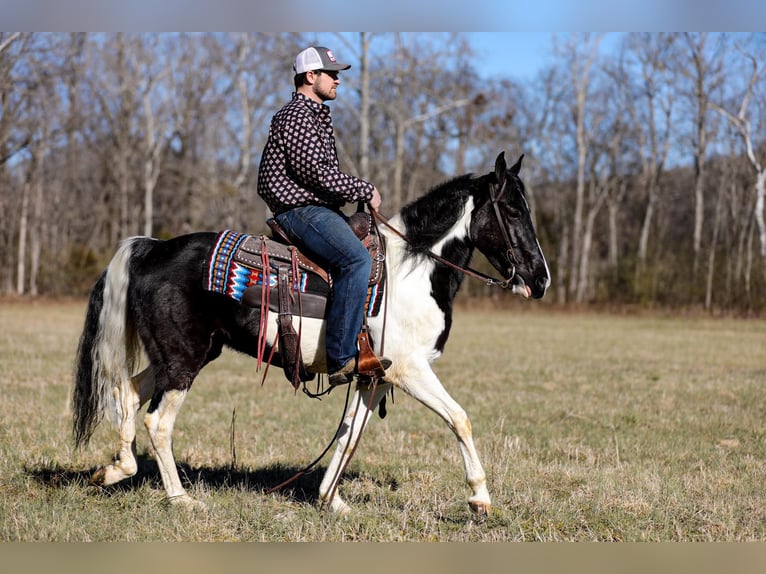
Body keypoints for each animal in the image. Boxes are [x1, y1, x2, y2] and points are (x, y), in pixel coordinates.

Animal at [72, 152, 552, 516]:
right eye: (513, 210)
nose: (540, 279)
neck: (411, 271)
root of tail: (153, 247)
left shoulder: (373, 376)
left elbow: (349, 433)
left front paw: (330, 500)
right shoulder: (409, 370)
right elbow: (459, 418)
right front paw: (480, 498)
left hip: (184, 355)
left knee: (126, 392)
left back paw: (114, 470)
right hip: (183, 360)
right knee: (158, 421)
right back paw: (181, 499)